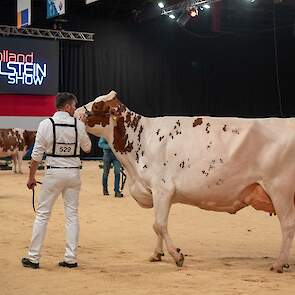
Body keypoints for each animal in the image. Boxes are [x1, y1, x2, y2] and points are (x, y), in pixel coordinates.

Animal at [75, 91, 295, 274]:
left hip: (280, 189)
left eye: (97, 106)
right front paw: (157, 254)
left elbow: (159, 225)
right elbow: (156, 225)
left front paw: (177, 256)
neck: (140, 141)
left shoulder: (163, 188)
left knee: (287, 226)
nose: (76, 111)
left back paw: (278, 264)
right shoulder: (157, 192)